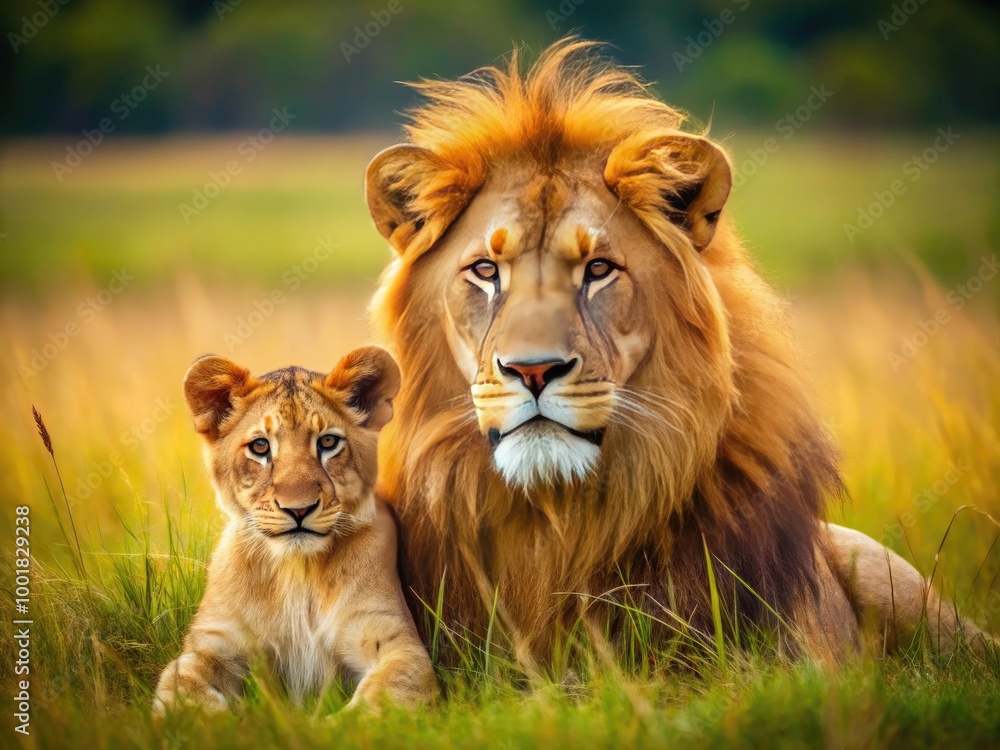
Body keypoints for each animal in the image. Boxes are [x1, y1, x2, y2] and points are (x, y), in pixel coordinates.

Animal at [154, 347, 438, 713]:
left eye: (328, 442)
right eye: (260, 447)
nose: (299, 509)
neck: (297, 573)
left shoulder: (396, 641)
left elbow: (375, 704)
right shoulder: (213, 644)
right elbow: (185, 693)